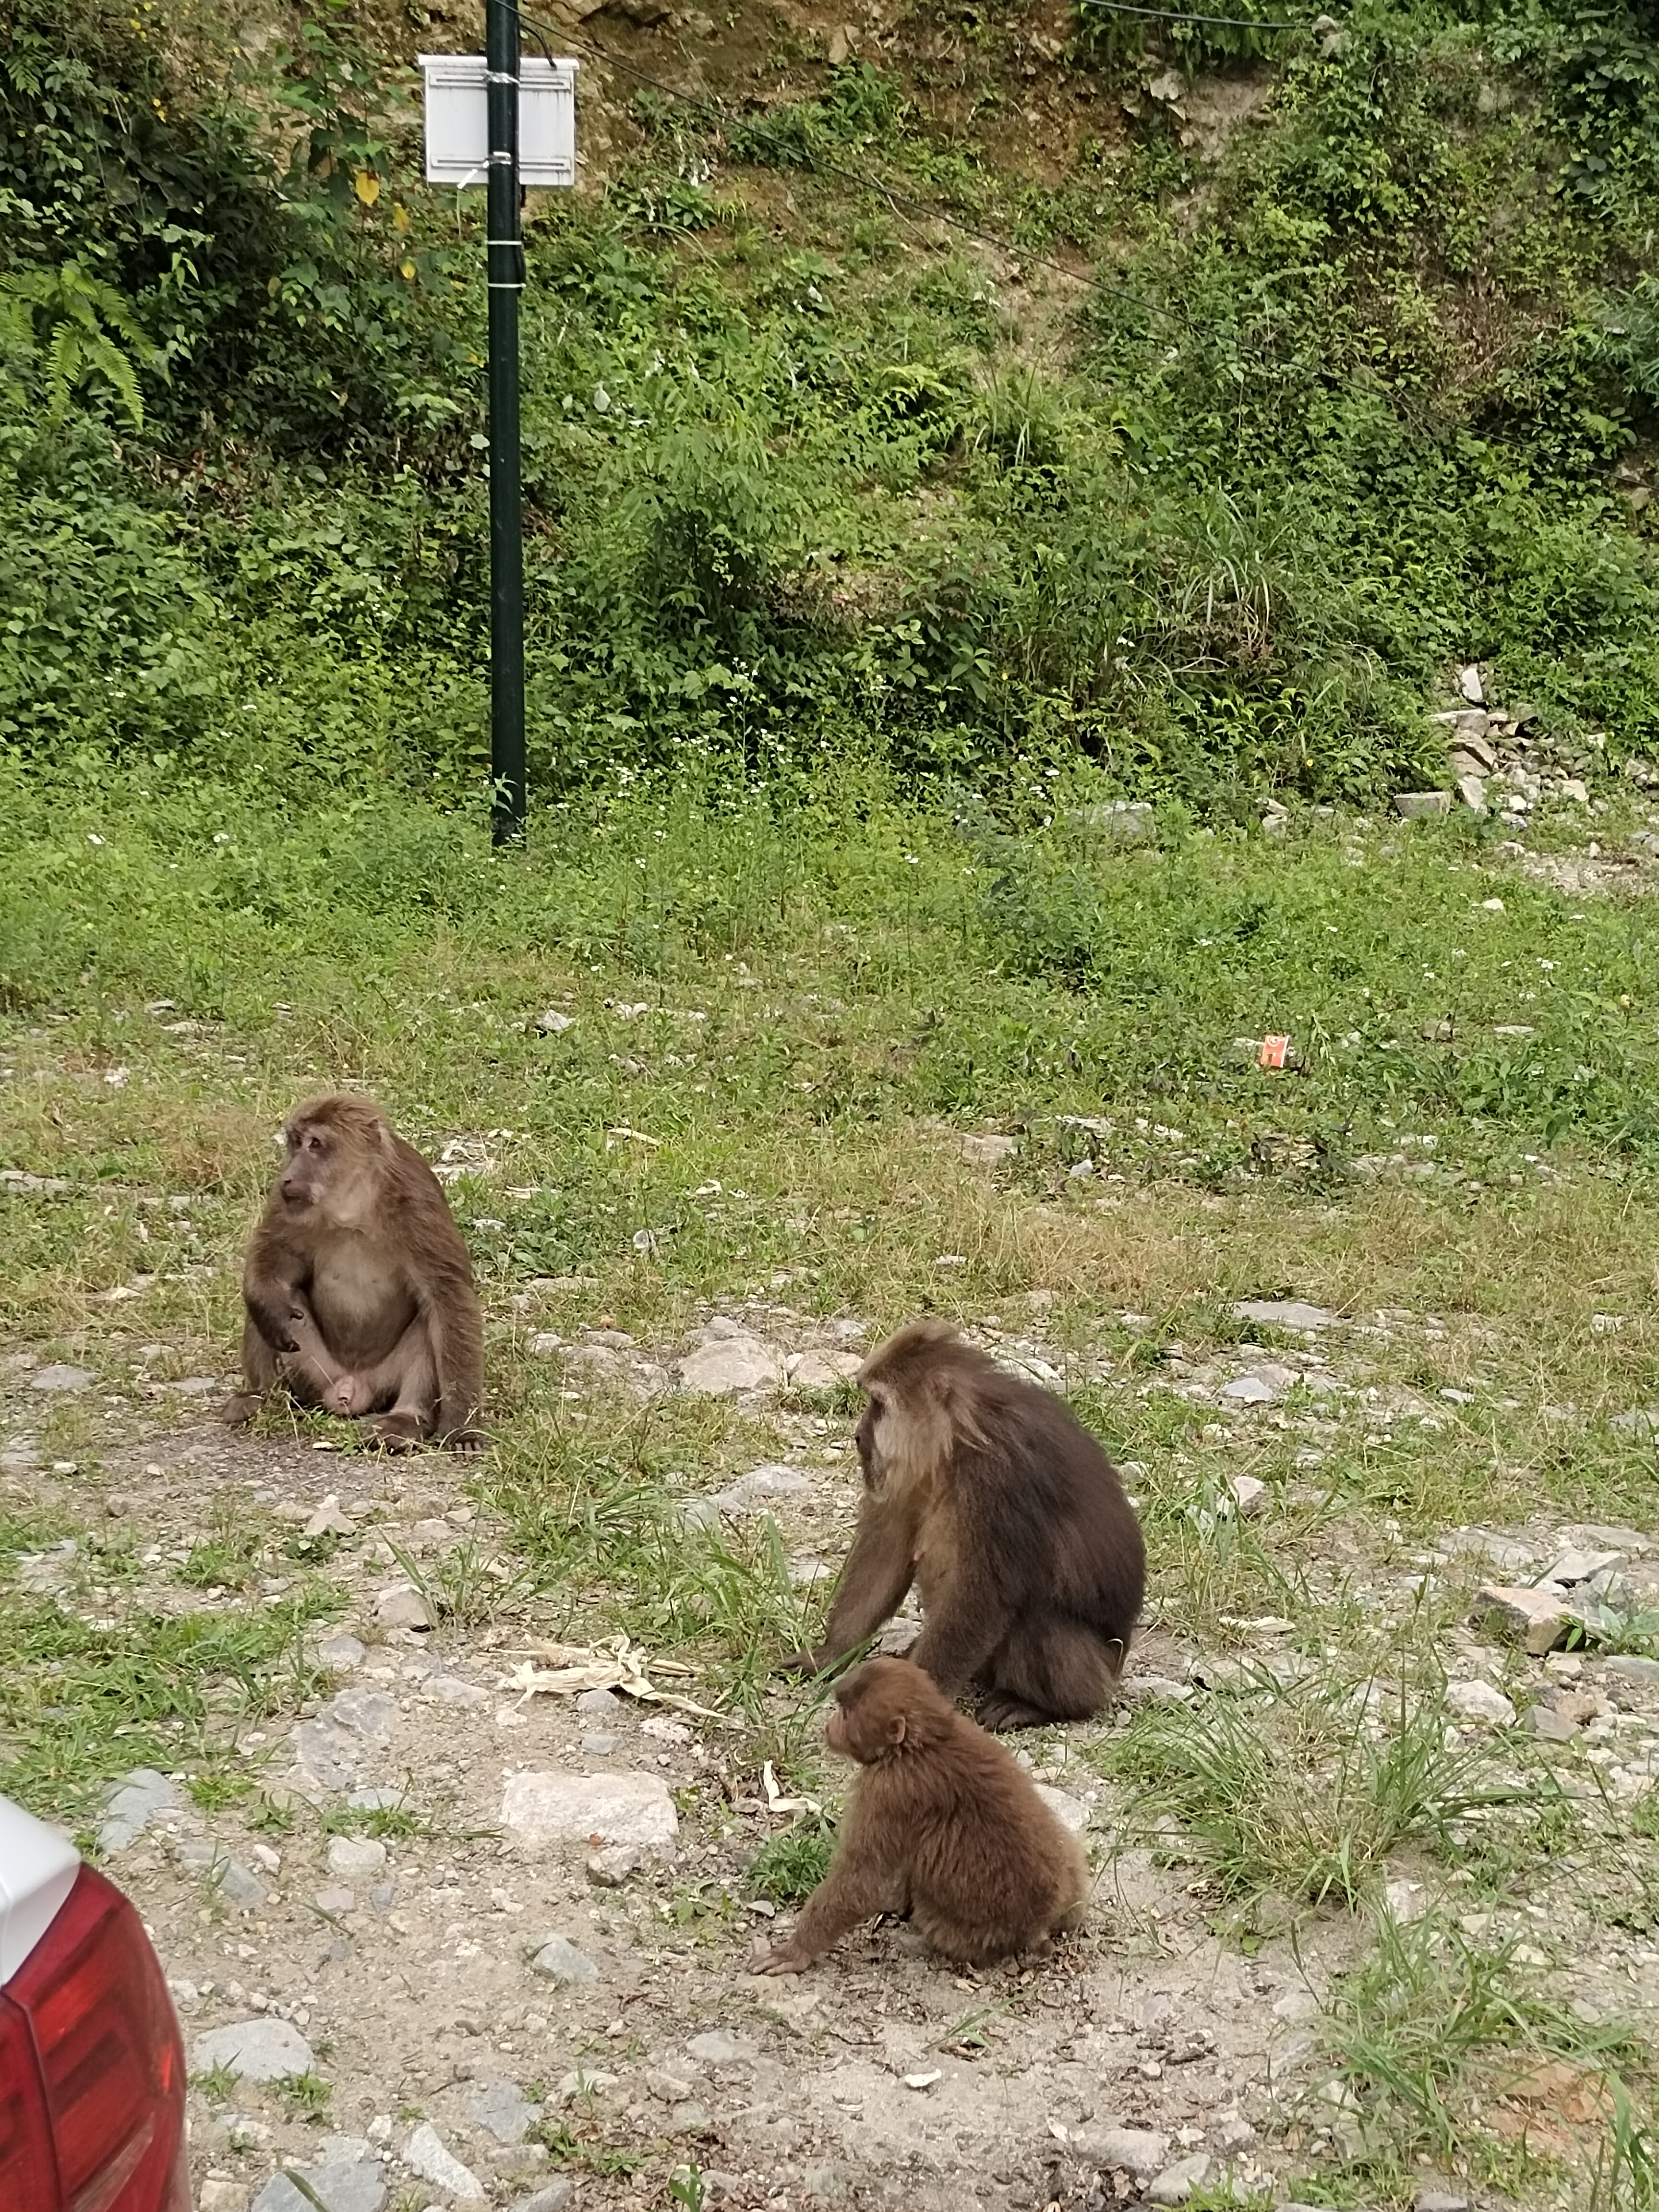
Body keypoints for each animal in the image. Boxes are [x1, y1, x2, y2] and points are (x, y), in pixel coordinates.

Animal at [756, 1663, 1093, 1973]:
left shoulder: (886, 1790)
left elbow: (862, 1878)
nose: (830, 1725)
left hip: (971, 1932)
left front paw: (797, 1951)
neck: (922, 1743)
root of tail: (1037, 1922)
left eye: (847, 1714)